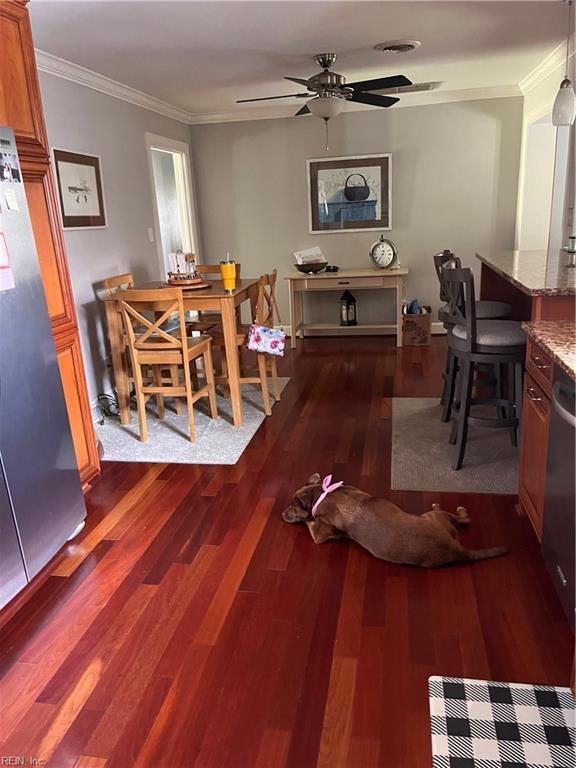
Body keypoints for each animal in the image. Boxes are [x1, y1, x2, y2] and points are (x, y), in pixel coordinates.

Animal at [284, 472, 508, 568]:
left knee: (458, 515)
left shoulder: (319, 534)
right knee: (463, 519)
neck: (322, 493)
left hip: (431, 517)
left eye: (292, 507)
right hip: (441, 523)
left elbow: (310, 522)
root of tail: (459, 550)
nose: (281, 514)